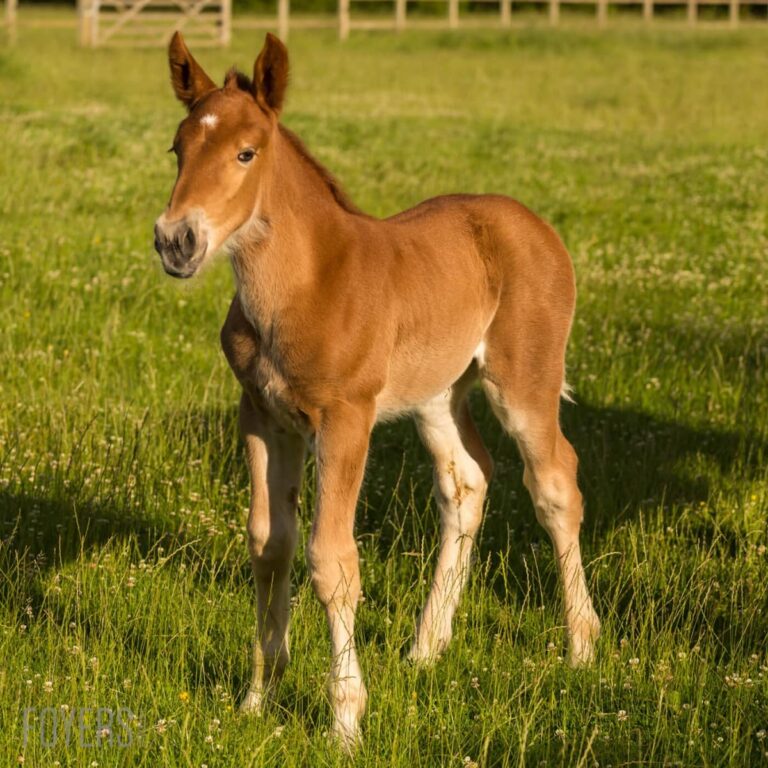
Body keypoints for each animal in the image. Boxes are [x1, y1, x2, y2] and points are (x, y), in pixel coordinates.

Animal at [154, 31, 600, 748]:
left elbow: (331, 561)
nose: (177, 240)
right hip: (437, 395)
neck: (304, 284)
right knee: (467, 481)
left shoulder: (346, 418)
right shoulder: (262, 416)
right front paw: (257, 697)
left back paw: (581, 646)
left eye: (246, 153)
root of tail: (534, 224)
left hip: (524, 380)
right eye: (178, 149)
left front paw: (344, 719)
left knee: (557, 485)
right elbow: (269, 544)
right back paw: (426, 646)